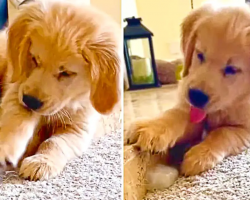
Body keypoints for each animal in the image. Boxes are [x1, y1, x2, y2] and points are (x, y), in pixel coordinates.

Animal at [0, 0, 121, 180]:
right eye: (34, 59)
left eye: (66, 73)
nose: (31, 101)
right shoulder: (17, 88)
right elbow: (16, 118)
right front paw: (5, 148)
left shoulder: (79, 129)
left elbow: (55, 142)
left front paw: (42, 161)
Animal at [127, 1, 250, 189]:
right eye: (200, 54)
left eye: (232, 69)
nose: (196, 96)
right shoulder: (188, 106)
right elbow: (175, 114)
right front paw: (153, 127)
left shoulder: (245, 129)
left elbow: (224, 132)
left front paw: (200, 156)